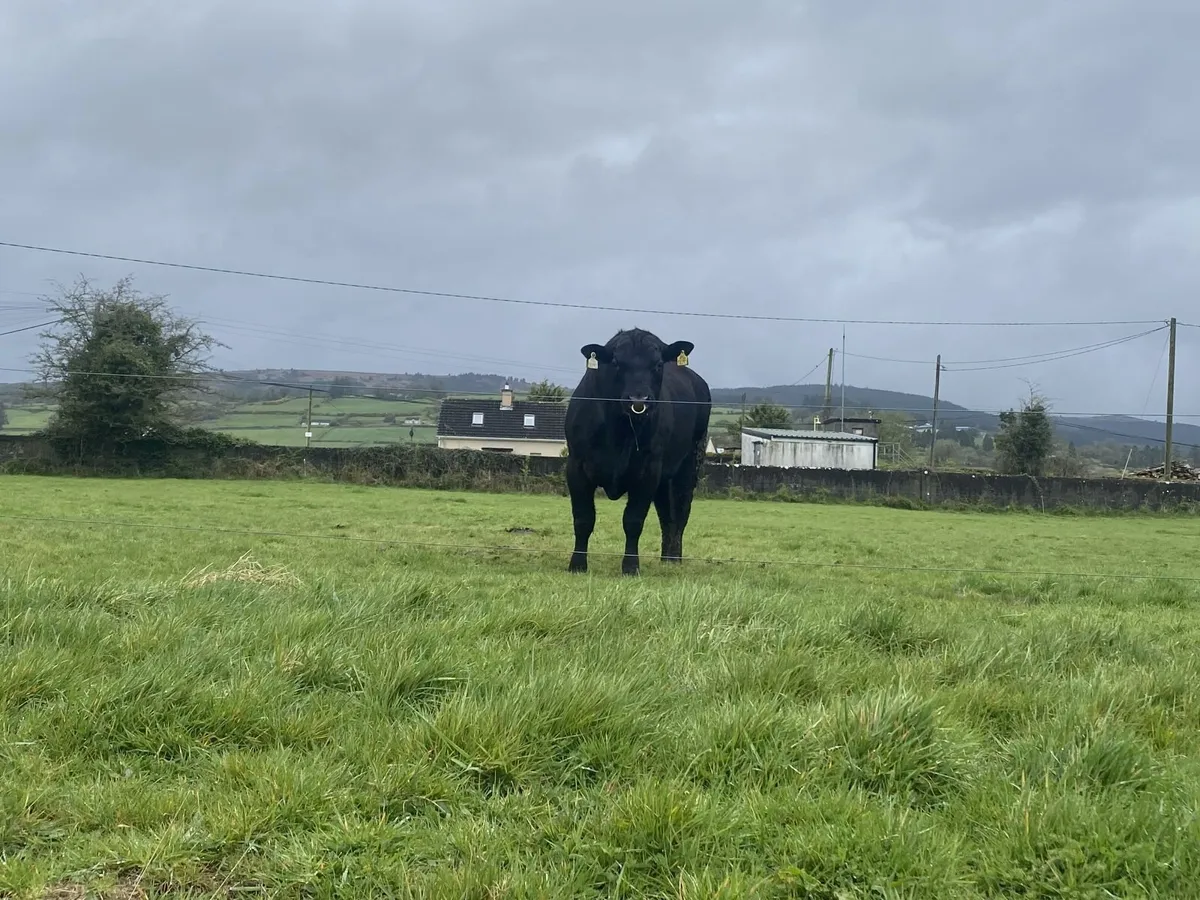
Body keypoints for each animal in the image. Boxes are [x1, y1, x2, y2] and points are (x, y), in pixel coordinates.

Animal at [563, 327, 712, 575]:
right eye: (616, 362)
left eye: (658, 364)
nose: (638, 400)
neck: (619, 431)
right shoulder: (576, 466)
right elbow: (583, 518)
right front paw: (577, 564)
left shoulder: (648, 471)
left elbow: (633, 521)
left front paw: (631, 567)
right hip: (665, 477)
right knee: (666, 514)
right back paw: (666, 558)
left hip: (689, 464)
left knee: (681, 511)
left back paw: (675, 559)